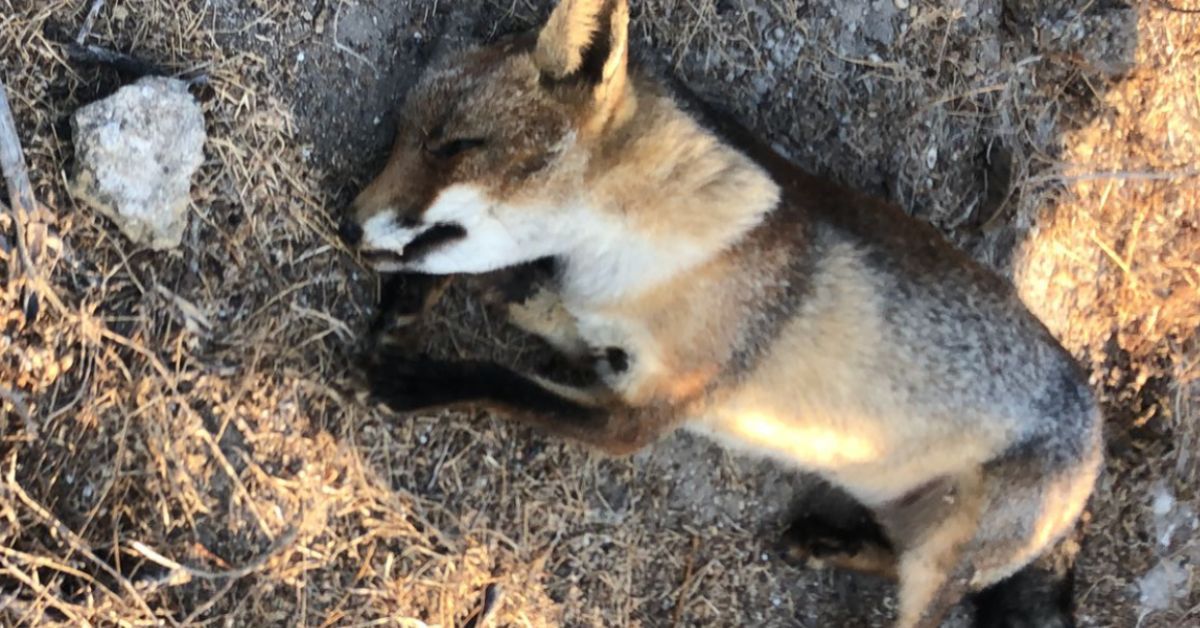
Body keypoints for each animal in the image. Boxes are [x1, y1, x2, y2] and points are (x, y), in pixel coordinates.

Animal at [333, 2, 1099, 624]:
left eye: (453, 145)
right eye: (403, 137)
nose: (346, 224)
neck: (646, 260)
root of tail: (1095, 436)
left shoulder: (643, 415)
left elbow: (507, 385)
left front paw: (416, 378)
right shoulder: (606, 346)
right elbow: (518, 298)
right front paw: (425, 301)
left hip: (939, 567)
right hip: (914, 530)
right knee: (897, 558)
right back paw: (832, 542)